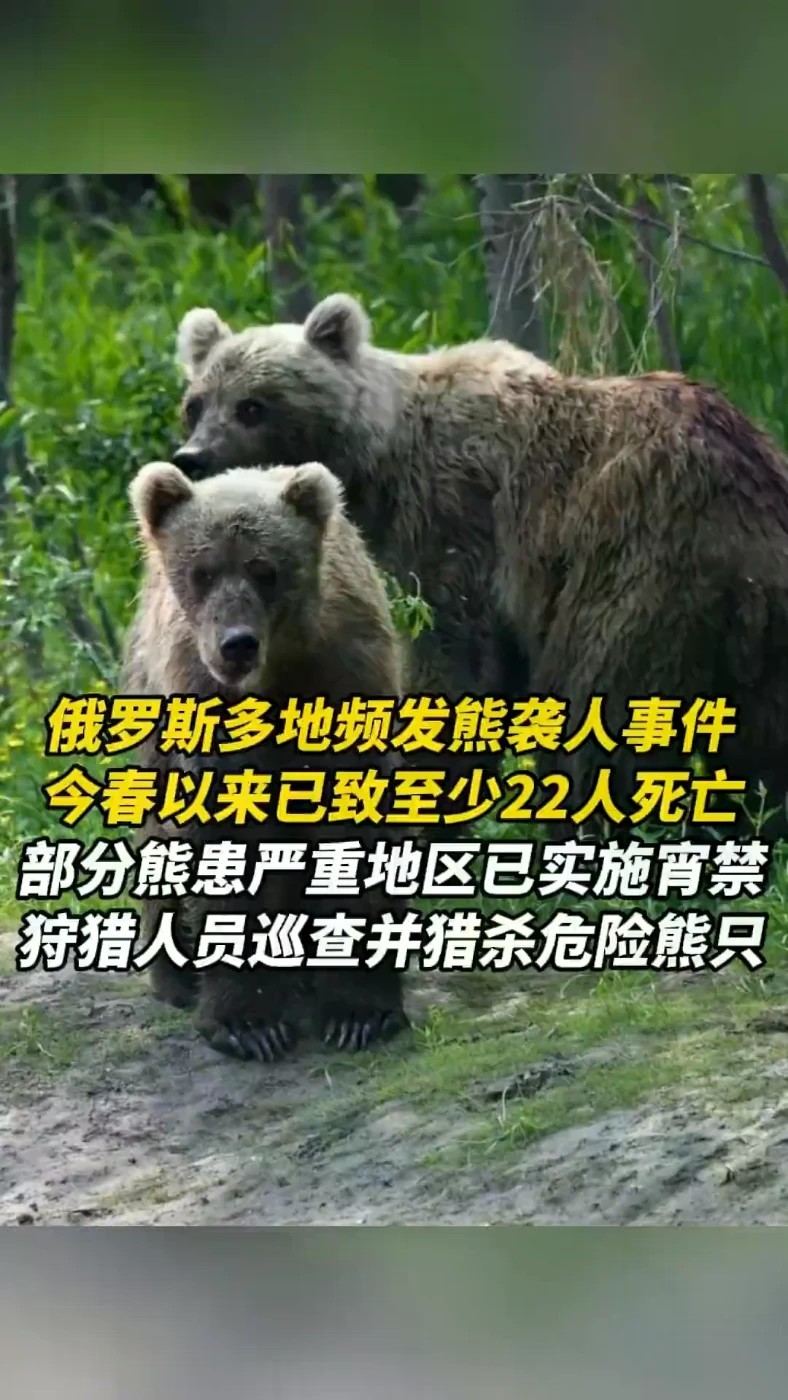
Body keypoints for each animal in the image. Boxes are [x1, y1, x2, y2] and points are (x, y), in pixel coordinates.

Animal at [122, 457, 411, 1061]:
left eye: (265, 570)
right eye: (203, 571)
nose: (237, 643)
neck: (274, 679)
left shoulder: (344, 671)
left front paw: (359, 1011)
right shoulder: (202, 706)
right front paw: (249, 1024)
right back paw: (174, 974)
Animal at [170, 296, 788, 830]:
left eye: (252, 405)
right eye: (196, 403)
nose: (193, 457)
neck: (376, 465)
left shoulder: (452, 517)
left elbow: (453, 658)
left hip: (635, 566)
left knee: (598, 707)